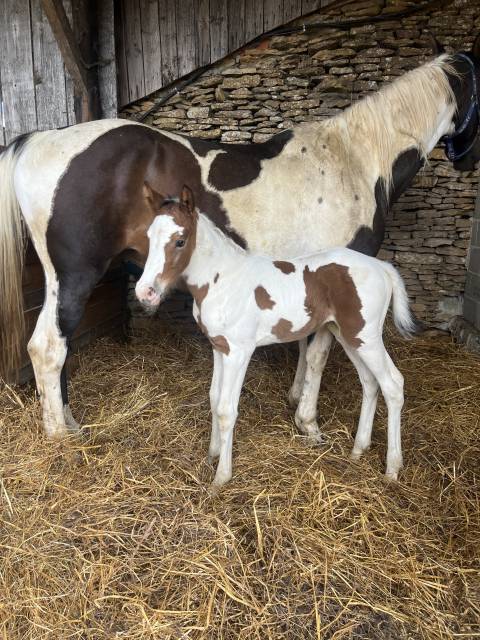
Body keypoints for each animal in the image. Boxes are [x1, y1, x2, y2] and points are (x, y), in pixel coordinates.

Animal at [0, 38, 479, 438]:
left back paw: (67, 421)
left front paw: (295, 399)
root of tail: (40, 140)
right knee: (48, 347)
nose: (468, 161)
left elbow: (305, 343)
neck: (354, 163)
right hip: (75, 275)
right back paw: (61, 436)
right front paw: (308, 423)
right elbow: (319, 352)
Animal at [136, 185, 414, 488]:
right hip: (348, 336)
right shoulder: (219, 348)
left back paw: (392, 468)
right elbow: (213, 398)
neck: (223, 279)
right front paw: (212, 455)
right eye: (149, 236)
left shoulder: (238, 352)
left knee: (393, 384)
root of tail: (381, 267)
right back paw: (358, 450)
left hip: (367, 336)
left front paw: (221, 477)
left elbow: (226, 409)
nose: (145, 292)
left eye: (180, 241)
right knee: (370, 382)